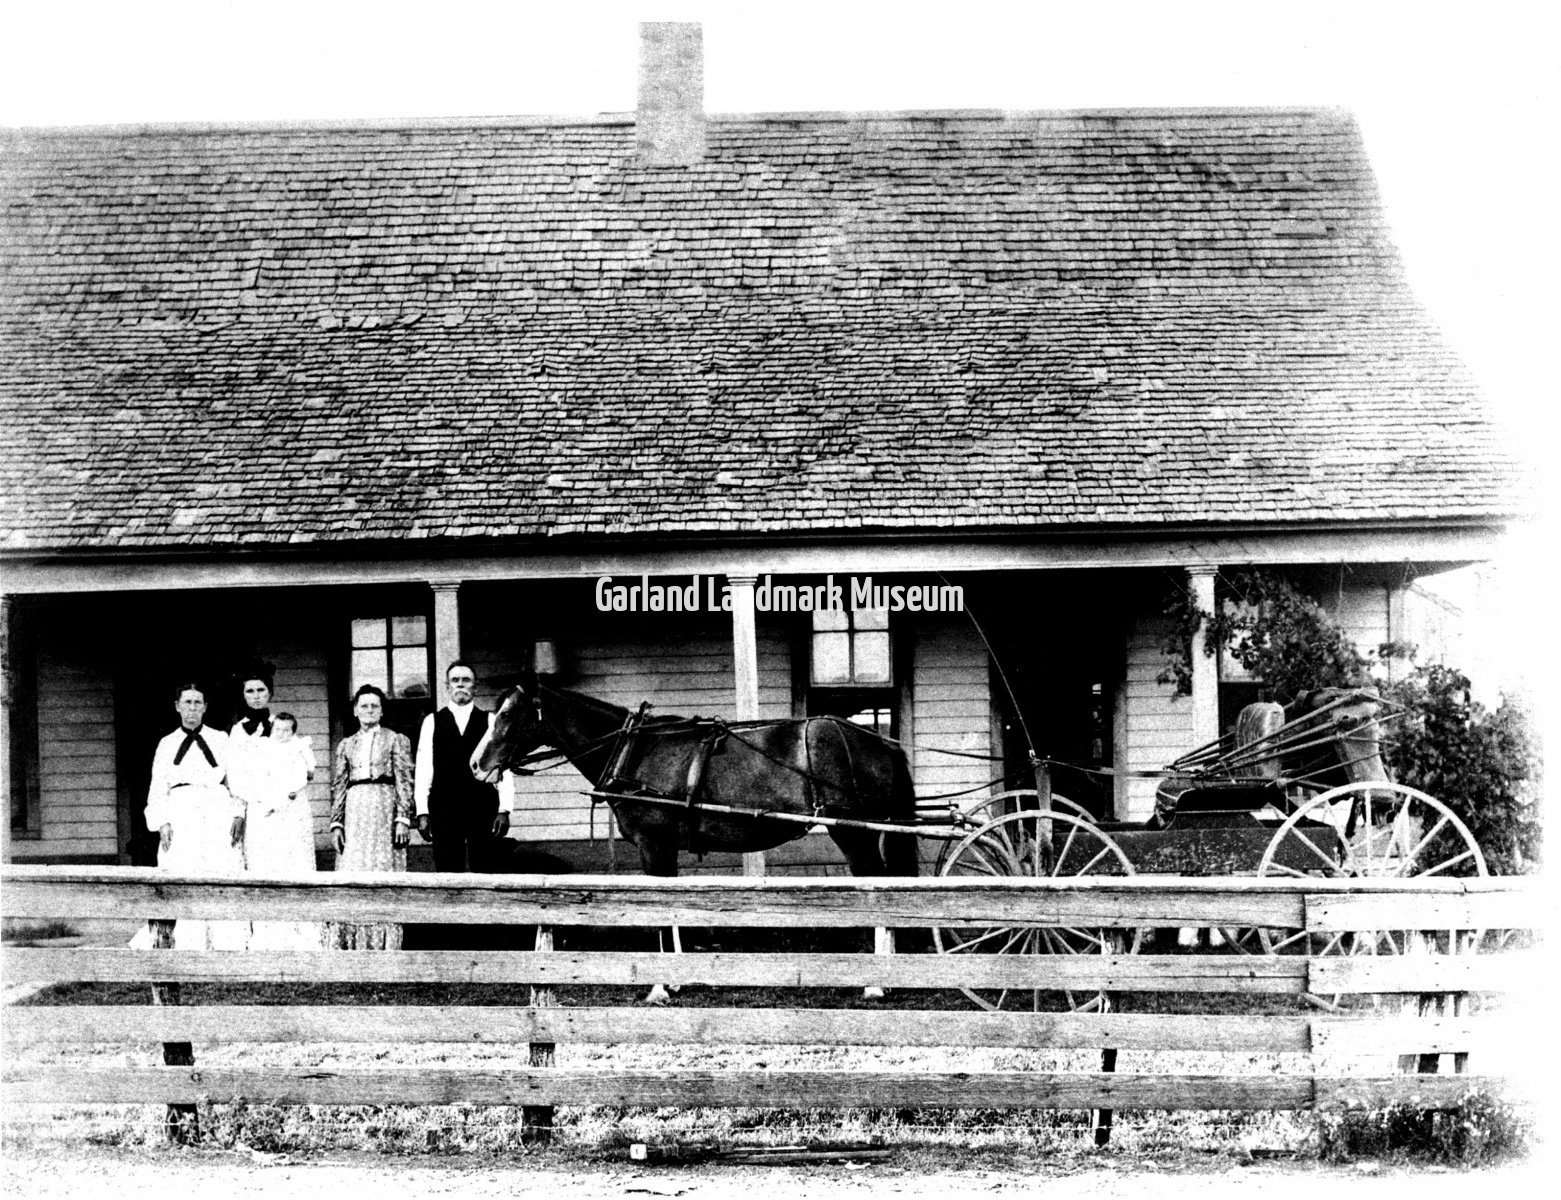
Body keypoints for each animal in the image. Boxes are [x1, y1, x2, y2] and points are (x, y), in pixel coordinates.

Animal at [470, 677, 921, 1000]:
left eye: (508, 714)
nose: (476, 764)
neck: (635, 749)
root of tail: (876, 739)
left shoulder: (653, 846)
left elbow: (660, 914)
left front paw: (658, 987)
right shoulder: (664, 849)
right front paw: (674, 980)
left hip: (853, 830)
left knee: (877, 886)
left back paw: (877, 983)